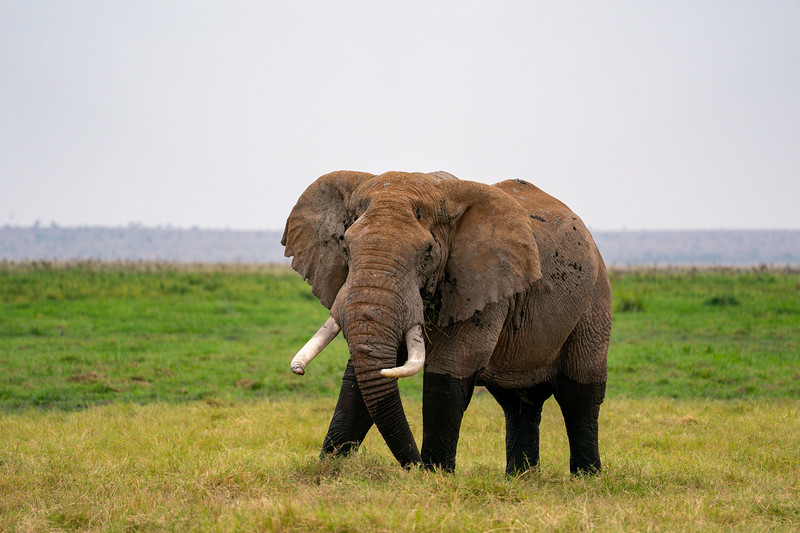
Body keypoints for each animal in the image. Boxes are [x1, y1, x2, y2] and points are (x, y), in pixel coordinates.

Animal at [282, 170, 612, 475]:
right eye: (345, 248)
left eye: (427, 254)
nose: (413, 465)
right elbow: (363, 379)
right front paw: (329, 468)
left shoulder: (482, 283)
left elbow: (450, 368)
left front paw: (434, 476)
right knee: (518, 403)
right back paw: (521, 478)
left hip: (594, 302)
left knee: (580, 395)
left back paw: (586, 477)